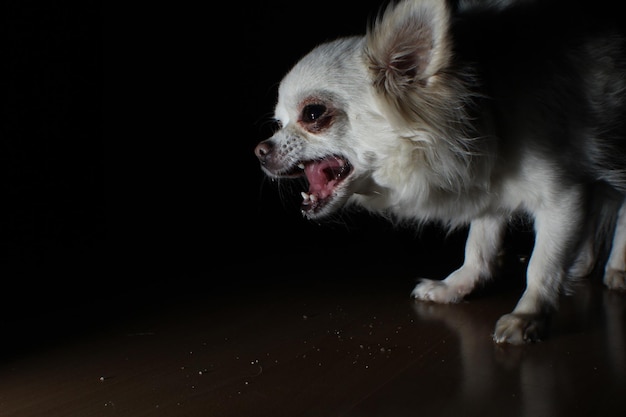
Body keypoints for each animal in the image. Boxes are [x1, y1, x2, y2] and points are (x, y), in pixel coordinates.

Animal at [254, 0, 624, 344]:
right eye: (278, 123)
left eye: (313, 114)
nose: (259, 151)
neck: (480, 99)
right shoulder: (491, 181)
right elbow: (480, 243)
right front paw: (457, 286)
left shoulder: (563, 196)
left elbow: (542, 265)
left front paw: (528, 316)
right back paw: (584, 263)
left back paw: (617, 268)